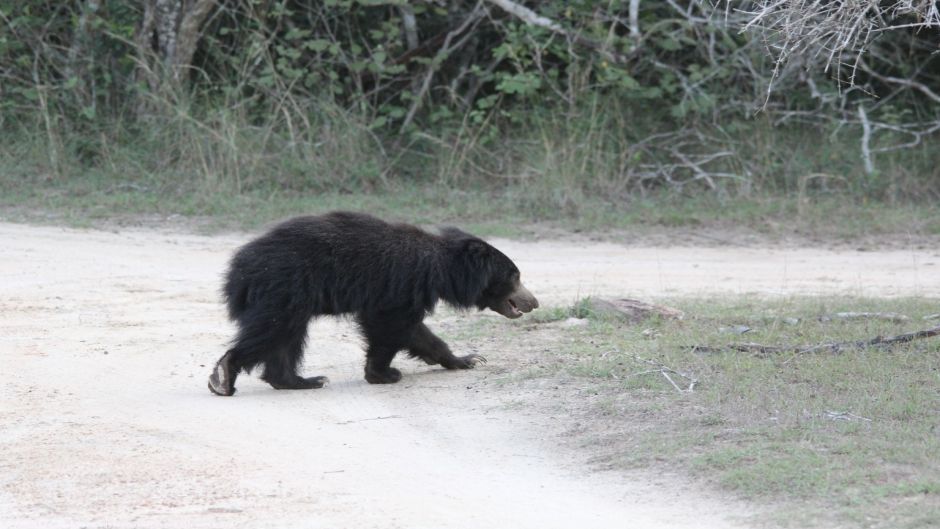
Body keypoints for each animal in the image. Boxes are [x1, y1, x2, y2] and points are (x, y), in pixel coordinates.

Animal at [209, 210, 540, 396]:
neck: (440, 269)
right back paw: (224, 375)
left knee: (285, 339)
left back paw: (300, 380)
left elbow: (418, 333)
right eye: (515, 276)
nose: (533, 303)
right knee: (274, 332)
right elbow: (391, 326)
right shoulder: (400, 284)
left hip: (286, 296)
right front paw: (384, 374)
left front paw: (467, 359)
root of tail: (238, 267)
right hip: (285, 288)